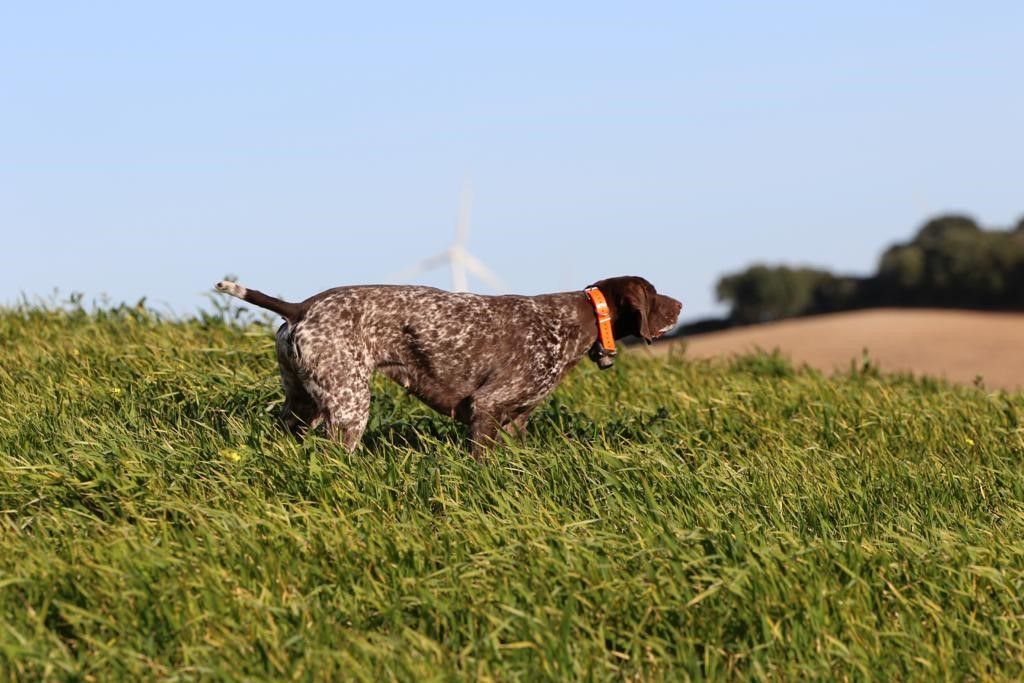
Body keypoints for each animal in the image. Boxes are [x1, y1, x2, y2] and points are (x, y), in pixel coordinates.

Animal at [216, 274, 679, 456]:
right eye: (654, 293)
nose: (679, 305)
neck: (573, 320)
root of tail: (300, 308)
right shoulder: (486, 407)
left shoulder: (517, 420)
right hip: (349, 406)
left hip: (303, 407)